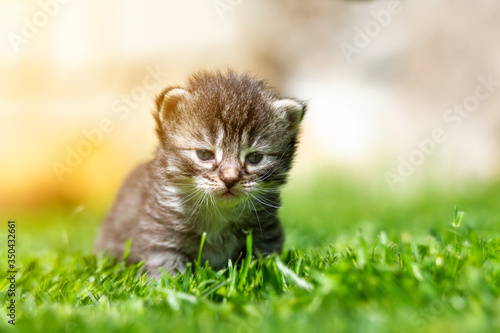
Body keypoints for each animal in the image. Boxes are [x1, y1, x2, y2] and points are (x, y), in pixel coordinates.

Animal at [93, 70, 304, 278]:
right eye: (204, 154)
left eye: (255, 158)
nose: (230, 179)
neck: (218, 214)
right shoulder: (159, 233)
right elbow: (166, 268)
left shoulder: (266, 232)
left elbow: (263, 261)